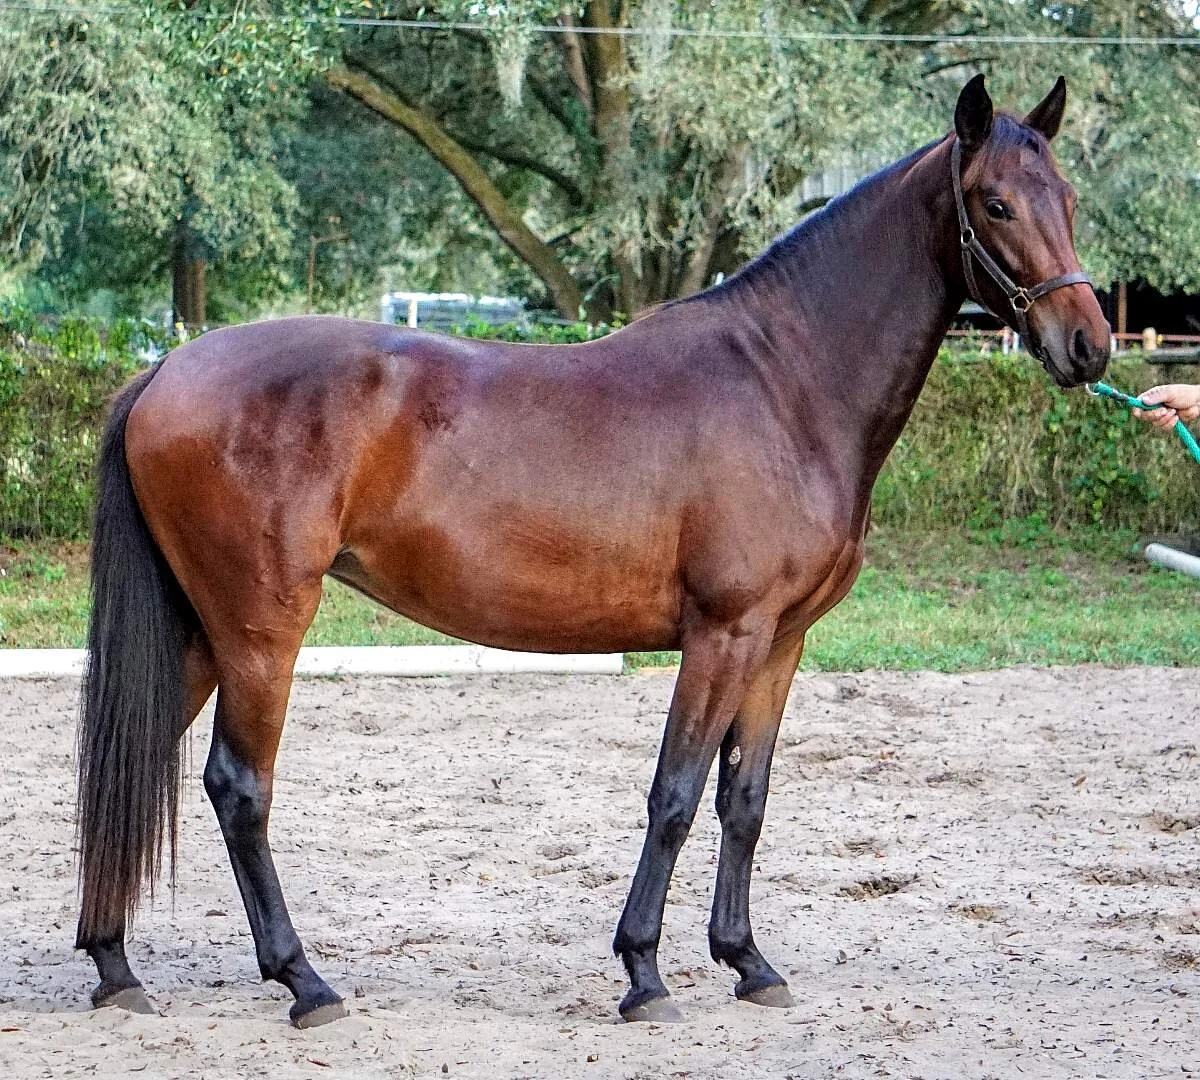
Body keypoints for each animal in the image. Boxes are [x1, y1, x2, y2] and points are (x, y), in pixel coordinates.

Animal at [75, 74, 1109, 1028]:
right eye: (995, 203)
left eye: (1068, 200)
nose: (1089, 347)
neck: (785, 383)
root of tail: (167, 369)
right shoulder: (723, 635)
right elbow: (676, 795)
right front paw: (644, 974)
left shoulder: (780, 643)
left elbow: (746, 799)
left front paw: (748, 962)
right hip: (260, 631)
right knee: (237, 787)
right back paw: (303, 981)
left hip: (201, 632)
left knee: (135, 760)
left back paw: (116, 966)